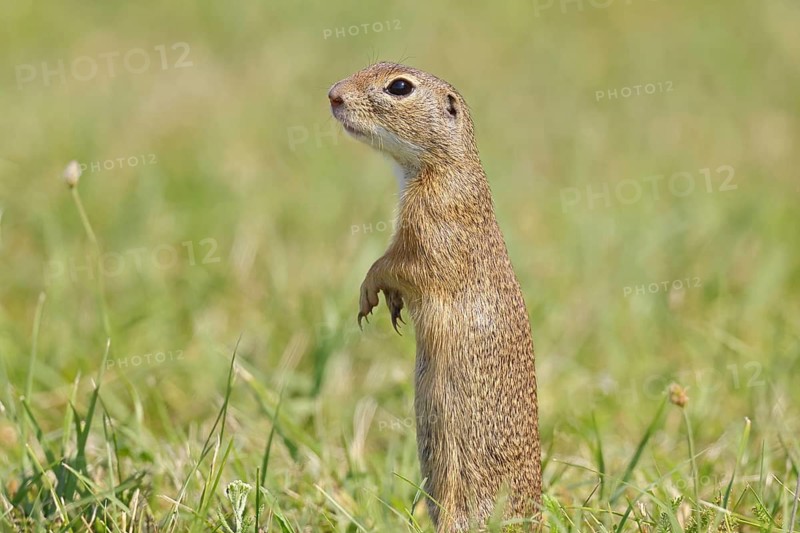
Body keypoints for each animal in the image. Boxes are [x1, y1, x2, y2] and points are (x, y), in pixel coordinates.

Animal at [329, 62, 541, 532]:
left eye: (399, 86)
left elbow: (398, 266)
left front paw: (368, 294)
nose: (333, 94)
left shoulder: (432, 228)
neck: (442, 167)